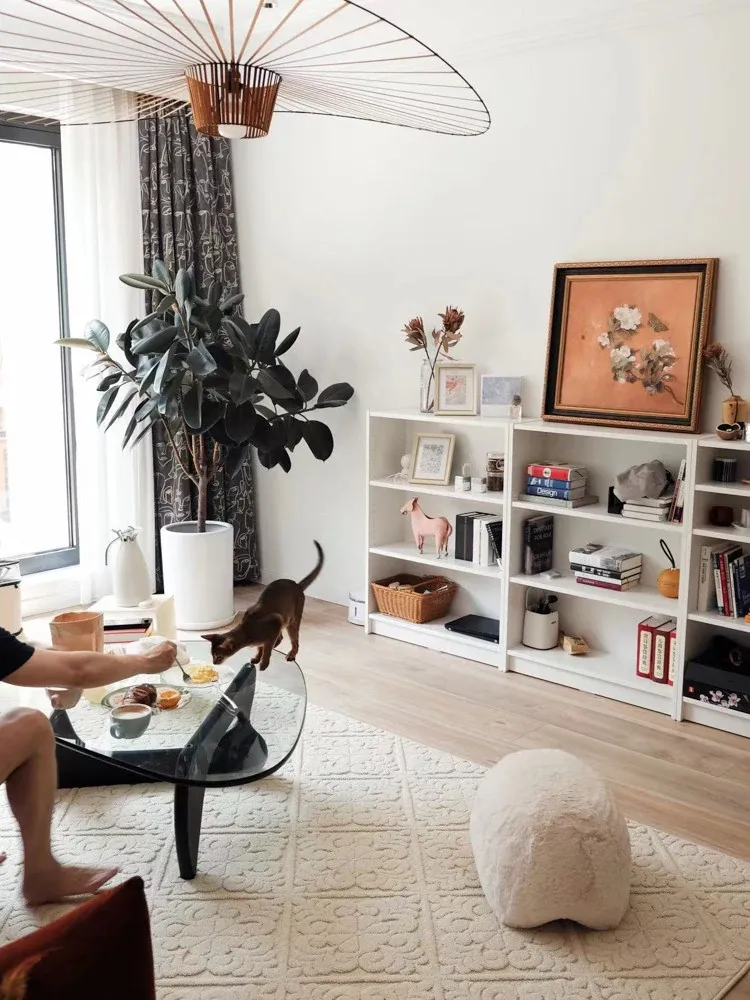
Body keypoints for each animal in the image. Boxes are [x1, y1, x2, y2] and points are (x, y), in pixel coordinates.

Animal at [202, 541, 323, 670]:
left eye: (218, 656)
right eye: (211, 655)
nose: (214, 663)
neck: (247, 630)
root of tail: (297, 585)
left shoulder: (275, 621)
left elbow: (267, 650)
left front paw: (264, 664)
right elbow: (260, 648)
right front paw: (257, 657)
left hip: (292, 620)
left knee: (294, 641)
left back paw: (291, 654)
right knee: (281, 638)